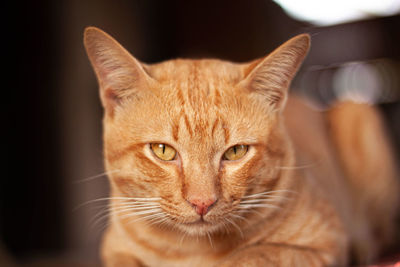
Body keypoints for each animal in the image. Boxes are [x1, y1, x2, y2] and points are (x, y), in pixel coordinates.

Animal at [83, 26, 398, 266]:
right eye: (163, 151)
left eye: (235, 152)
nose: (202, 203)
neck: (191, 251)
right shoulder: (115, 251)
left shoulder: (326, 246)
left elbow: (254, 255)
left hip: (354, 111)